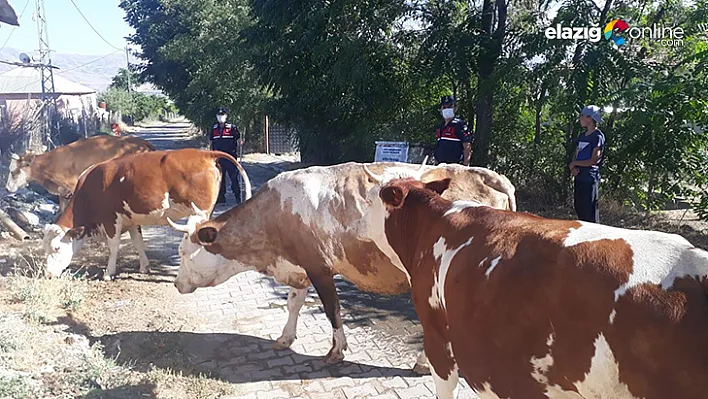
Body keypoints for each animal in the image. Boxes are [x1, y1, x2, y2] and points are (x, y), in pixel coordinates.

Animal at [42, 148, 252, 282]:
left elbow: (113, 247)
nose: (49, 274)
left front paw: (109, 273)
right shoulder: (131, 220)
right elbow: (138, 243)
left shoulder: (111, 220)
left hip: (201, 212)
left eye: (56, 248)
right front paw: (145, 267)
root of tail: (205, 153)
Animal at [167, 161, 516, 368]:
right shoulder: (299, 266)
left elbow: (332, 310)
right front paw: (285, 338)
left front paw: (336, 351)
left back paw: (424, 363)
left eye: (183, 252)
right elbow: (293, 303)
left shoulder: (319, 266)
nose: (176, 284)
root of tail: (491, 176)